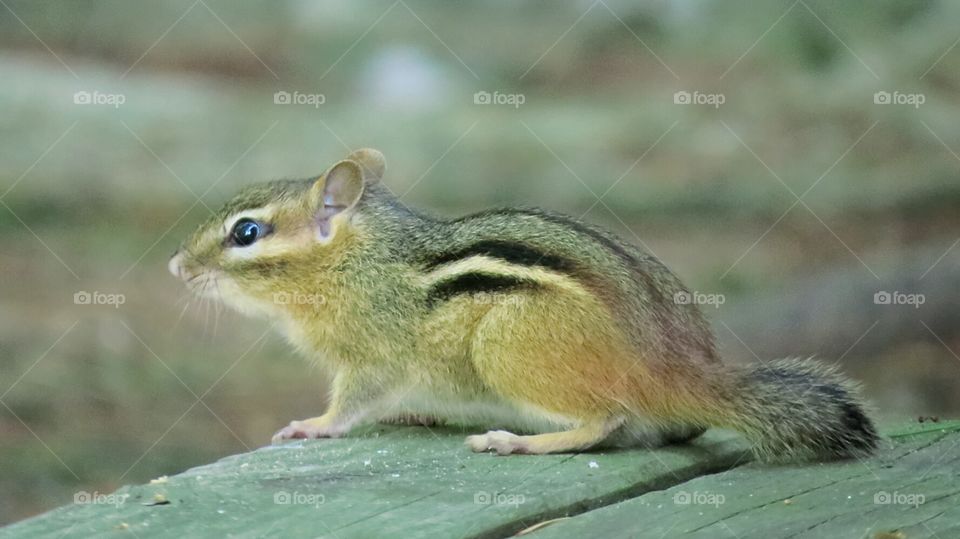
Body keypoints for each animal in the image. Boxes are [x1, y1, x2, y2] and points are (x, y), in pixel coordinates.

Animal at [169, 148, 879, 461]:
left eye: (246, 232)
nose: (176, 266)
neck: (357, 262)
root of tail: (680, 370)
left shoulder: (373, 352)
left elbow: (352, 402)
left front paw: (312, 426)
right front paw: (410, 413)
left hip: (507, 346)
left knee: (606, 422)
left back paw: (514, 440)